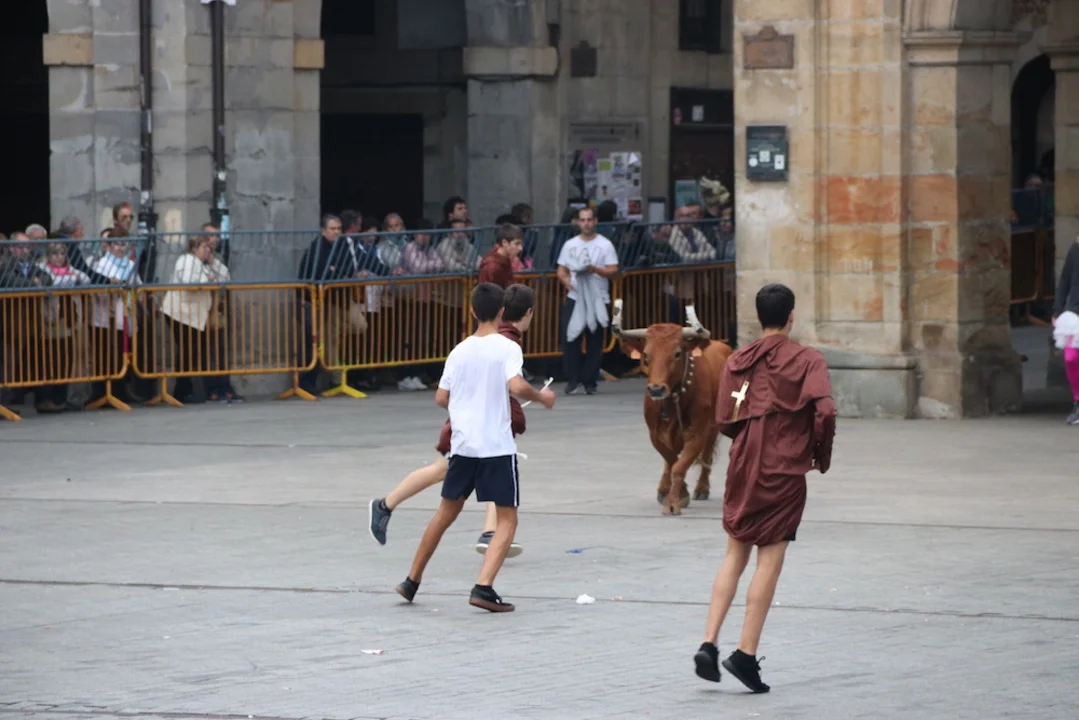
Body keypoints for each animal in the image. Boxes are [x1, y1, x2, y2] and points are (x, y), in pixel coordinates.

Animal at [611, 299, 733, 516]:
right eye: (646, 355)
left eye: (677, 353)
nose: (656, 389)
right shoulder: (654, 433)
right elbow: (671, 459)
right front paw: (674, 493)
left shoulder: (698, 432)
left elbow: (679, 465)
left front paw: (674, 501)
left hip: (714, 425)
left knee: (707, 454)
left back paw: (702, 488)